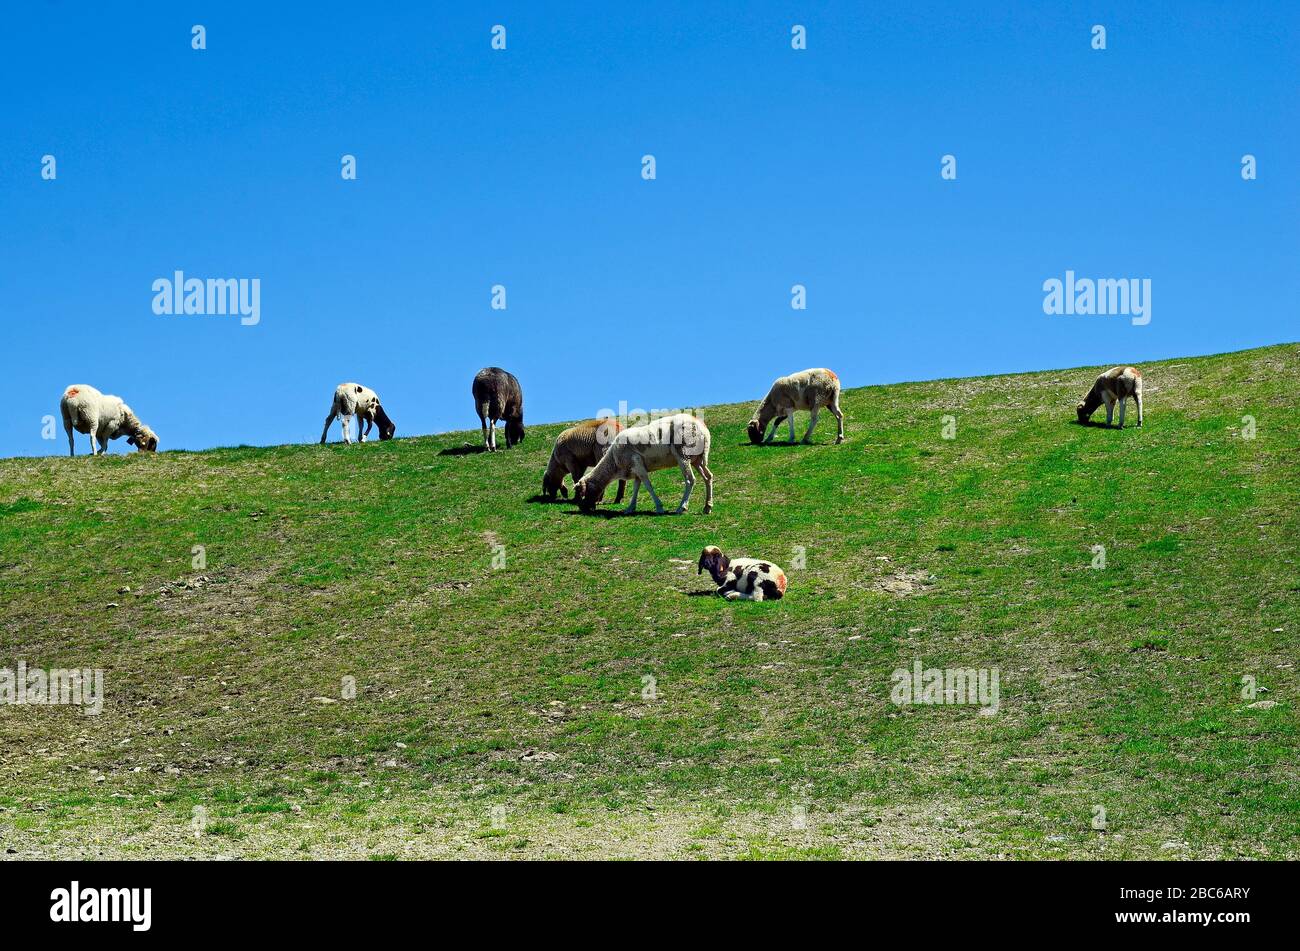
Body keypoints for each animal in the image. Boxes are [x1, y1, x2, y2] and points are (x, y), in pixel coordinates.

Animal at [574, 413, 713, 515]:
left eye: (582, 492)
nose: (582, 508)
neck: (613, 462)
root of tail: (703, 430)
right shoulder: (636, 470)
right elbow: (636, 487)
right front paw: (630, 508)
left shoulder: (637, 464)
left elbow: (648, 486)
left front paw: (659, 507)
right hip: (697, 459)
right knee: (708, 477)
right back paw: (707, 507)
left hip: (683, 454)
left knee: (690, 480)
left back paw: (682, 507)